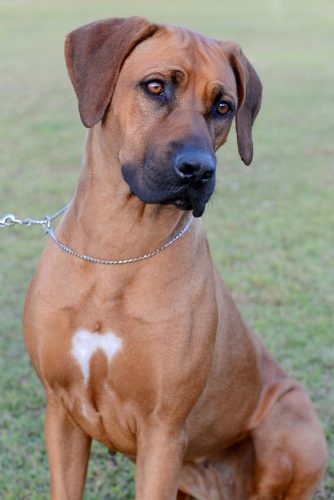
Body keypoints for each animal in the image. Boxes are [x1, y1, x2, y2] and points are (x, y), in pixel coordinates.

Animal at [22, 16, 326, 500]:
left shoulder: (163, 430)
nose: (199, 170)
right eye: (155, 86)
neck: (118, 250)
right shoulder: (61, 410)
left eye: (223, 106)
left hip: (290, 428)